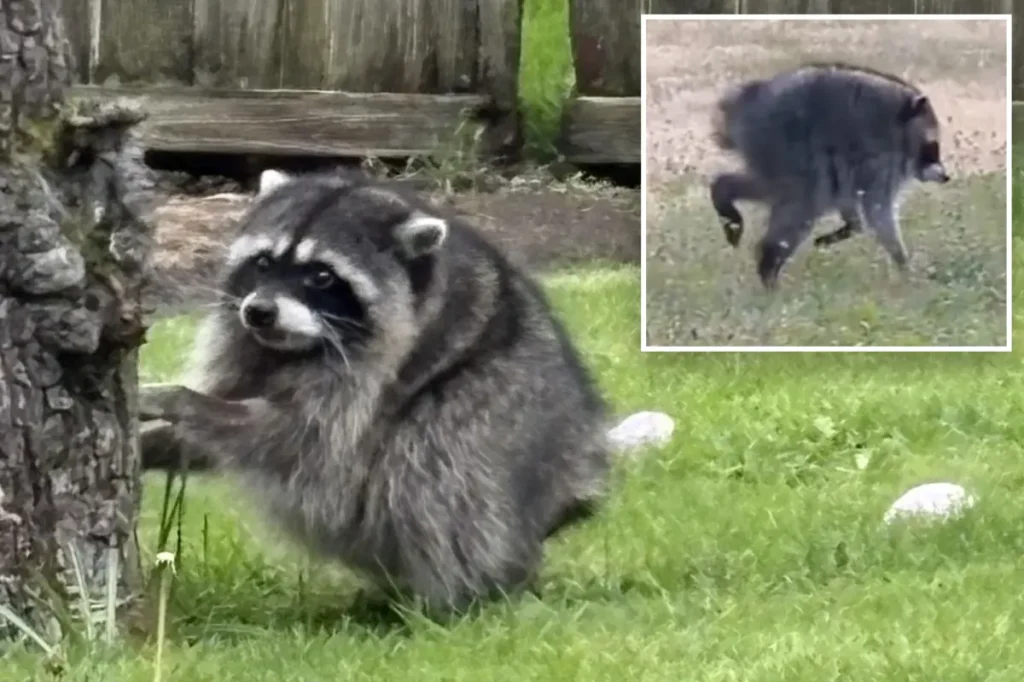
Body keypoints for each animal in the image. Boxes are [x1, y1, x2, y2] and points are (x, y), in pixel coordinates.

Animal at [139, 169, 612, 614]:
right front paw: (156, 441)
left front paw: (180, 399)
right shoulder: (246, 347)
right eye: (263, 263)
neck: (296, 347)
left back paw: (456, 596)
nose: (258, 312)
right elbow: (215, 430)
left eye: (322, 276)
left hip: (505, 417)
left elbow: (296, 440)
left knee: (433, 459)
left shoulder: (372, 374)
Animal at [709, 61, 950, 289]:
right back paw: (768, 264)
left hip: (771, 152)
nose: (945, 176)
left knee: (777, 190)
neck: (902, 125)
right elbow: (878, 211)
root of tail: (745, 102)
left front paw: (852, 227)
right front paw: (903, 262)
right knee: (803, 200)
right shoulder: (881, 162)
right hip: (781, 143)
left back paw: (723, 191)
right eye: (933, 148)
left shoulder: (856, 169)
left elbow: (851, 202)